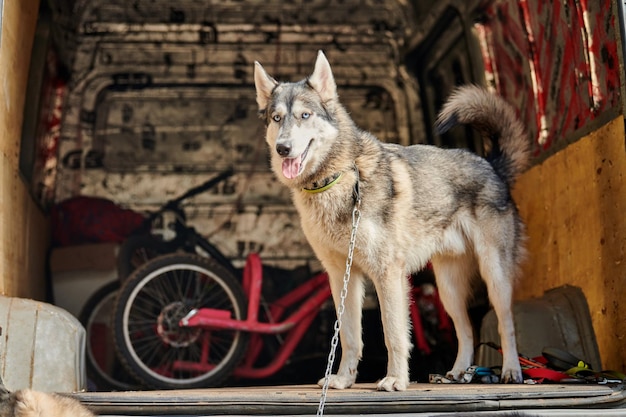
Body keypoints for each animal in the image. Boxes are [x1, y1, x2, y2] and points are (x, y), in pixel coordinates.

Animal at [251, 51, 528, 390]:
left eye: (305, 115)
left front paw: (395, 379)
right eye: (277, 119)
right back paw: (457, 373)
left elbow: (393, 333)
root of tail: (492, 165)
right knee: (466, 331)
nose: (283, 148)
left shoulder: (388, 274)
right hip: (448, 291)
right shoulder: (342, 277)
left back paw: (511, 371)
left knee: (506, 323)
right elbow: (350, 336)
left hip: (494, 276)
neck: (337, 178)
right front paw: (342, 380)